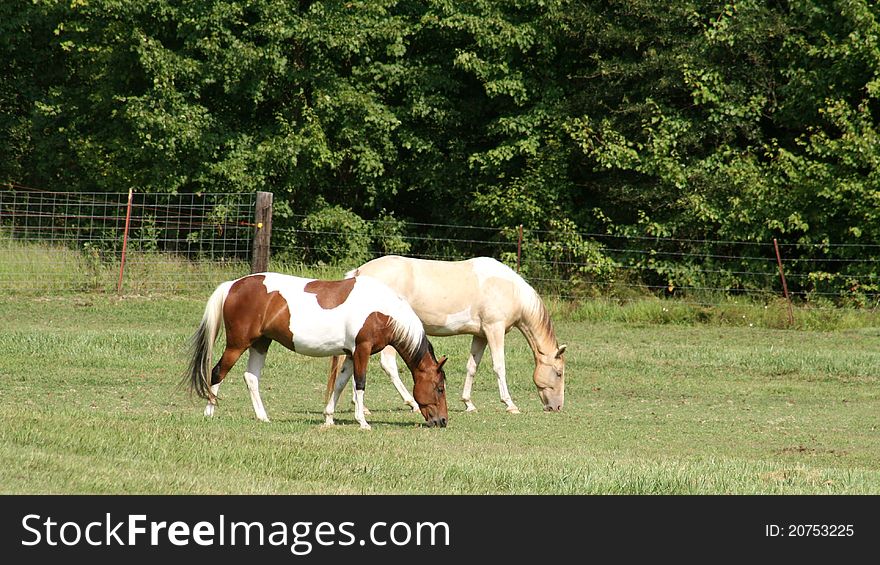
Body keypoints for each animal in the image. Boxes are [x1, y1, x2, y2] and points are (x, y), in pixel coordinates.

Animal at [186, 270, 446, 428]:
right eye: (440, 388)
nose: (442, 421)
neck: (381, 309)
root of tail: (233, 285)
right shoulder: (362, 350)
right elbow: (360, 385)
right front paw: (363, 422)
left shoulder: (350, 354)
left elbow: (340, 384)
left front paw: (329, 418)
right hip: (237, 344)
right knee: (218, 372)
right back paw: (209, 412)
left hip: (260, 344)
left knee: (251, 378)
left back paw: (263, 417)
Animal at [326, 254, 568, 410]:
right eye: (558, 373)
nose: (556, 407)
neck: (509, 288)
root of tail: (360, 272)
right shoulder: (495, 330)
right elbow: (499, 366)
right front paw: (510, 404)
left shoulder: (480, 335)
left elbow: (472, 367)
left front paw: (469, 403)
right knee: (389, 366)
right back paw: (410, 403)